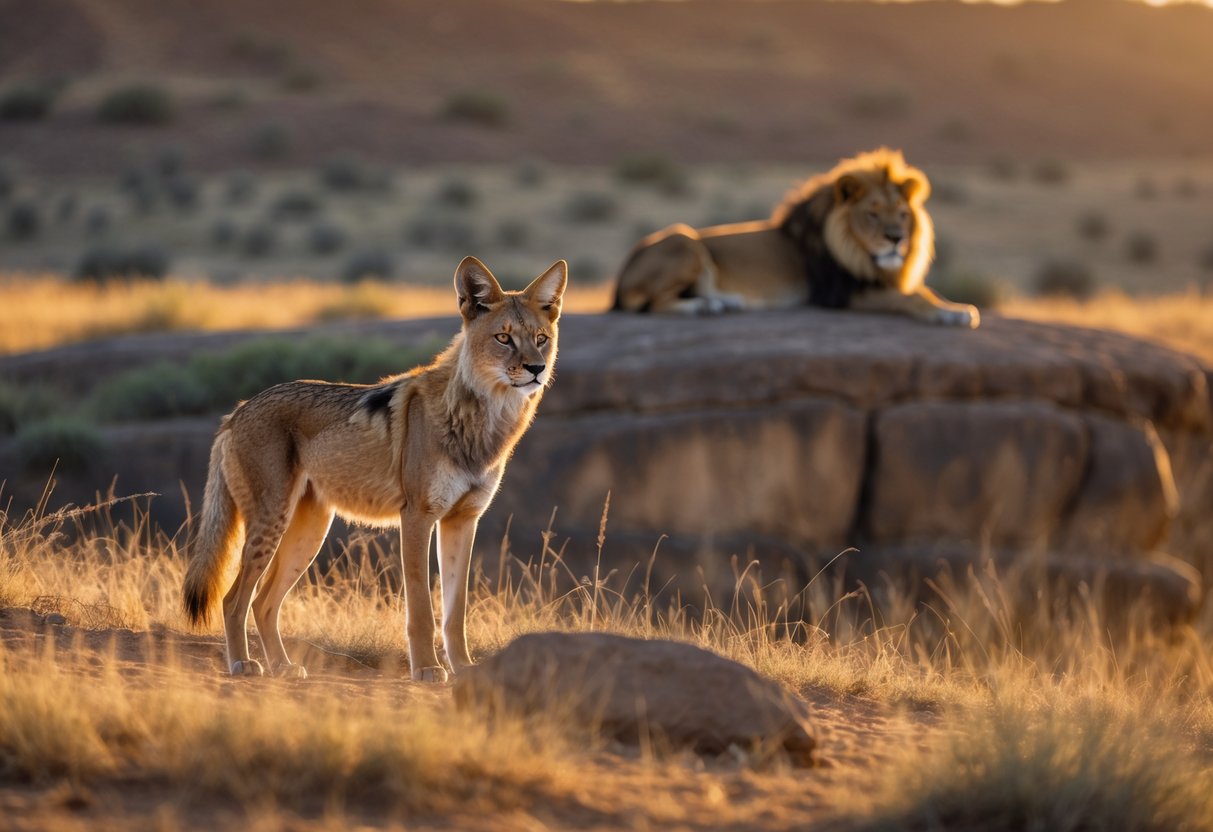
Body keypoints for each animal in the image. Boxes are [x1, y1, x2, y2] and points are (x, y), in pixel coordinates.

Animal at [611, 148, 978, 328]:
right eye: (872, 213)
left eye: (902, 213)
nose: (896, 239)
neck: (862, 255)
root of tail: (622, 272)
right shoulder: (836, 294)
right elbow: (911, 297)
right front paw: (950, 313)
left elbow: (925, 291)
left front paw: (956, 307)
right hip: (685, 240)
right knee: (654, 305)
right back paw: (702, 307)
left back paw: (723, 301)